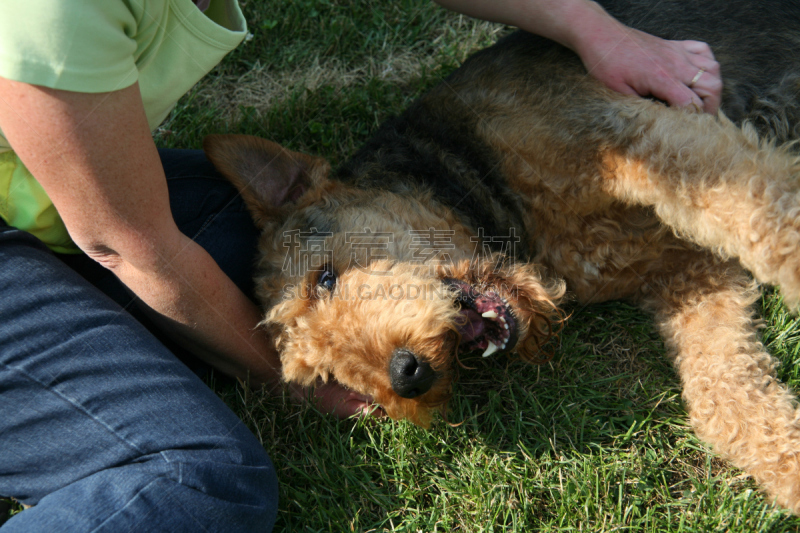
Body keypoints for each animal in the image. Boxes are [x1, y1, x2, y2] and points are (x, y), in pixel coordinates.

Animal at [202, 0, 800, 512]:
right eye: (323, 376)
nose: (407, 377)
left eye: (324, 279)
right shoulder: (687, 272)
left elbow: (765, 211)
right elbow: (723, 396)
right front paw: (789, 469)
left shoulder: (639, 136)